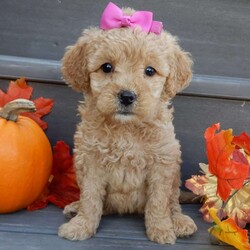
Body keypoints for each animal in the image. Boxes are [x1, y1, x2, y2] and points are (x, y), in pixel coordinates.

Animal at [58, 1, 197, 244]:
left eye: (150, 71)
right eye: (106, 67)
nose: (126, 96)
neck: (126, 129)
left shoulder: (162, 164)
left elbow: (158, 202)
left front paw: (161, 229)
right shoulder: (91, 161)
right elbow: (90, 198)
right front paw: (81, 225)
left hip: (175, 173)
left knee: (172, 202)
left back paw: (179, 222)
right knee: (100, 205)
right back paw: (75, 208)